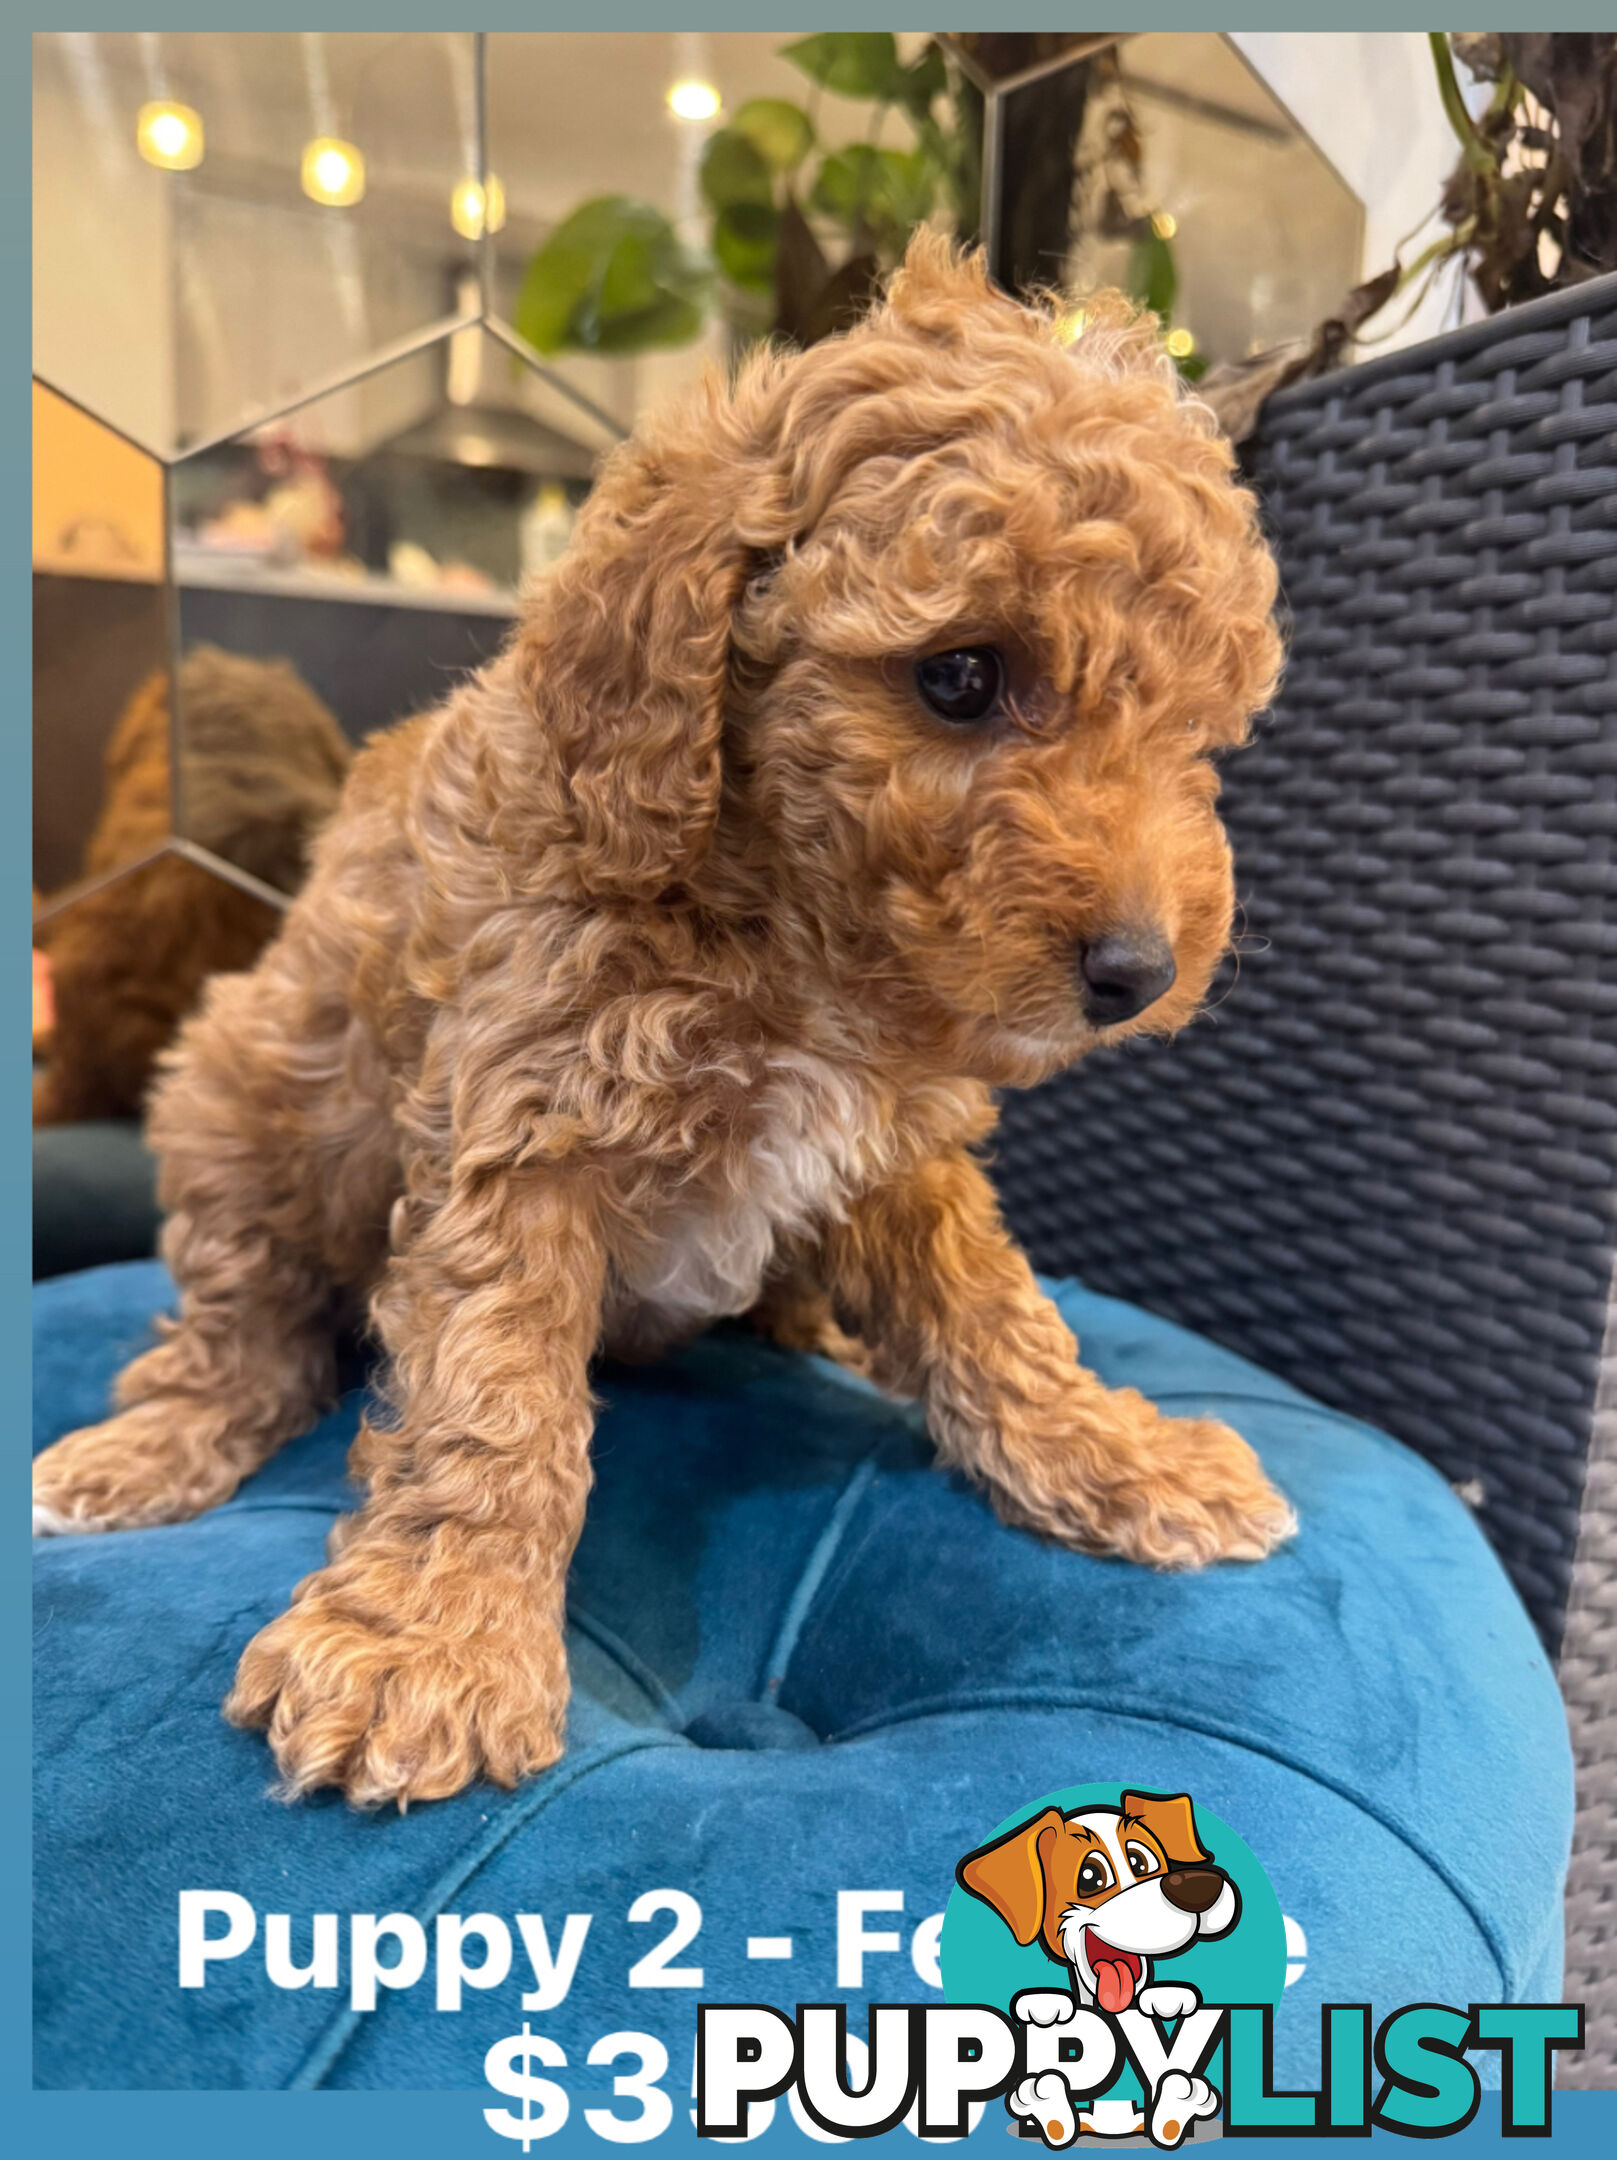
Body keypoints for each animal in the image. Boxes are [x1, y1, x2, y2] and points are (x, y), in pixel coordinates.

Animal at [34, 240, 1295, 1805]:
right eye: (959, 676)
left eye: (1192, 726)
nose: (1137, 969)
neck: (788, 927)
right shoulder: (524, 1125)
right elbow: (493, 1393)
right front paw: (433, 1644)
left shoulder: (896, 1147)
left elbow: (992, 1311)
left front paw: (1116, 1457)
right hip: (238, 1090)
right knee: (242, 1321)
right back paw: (144, 1448)